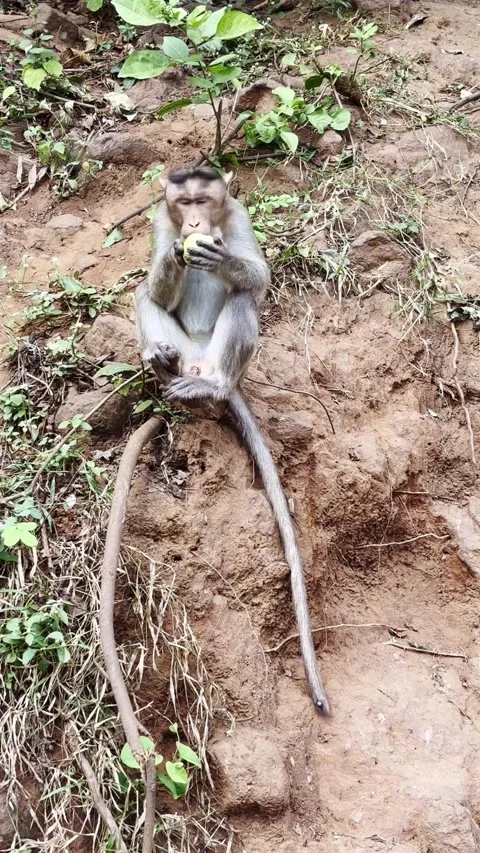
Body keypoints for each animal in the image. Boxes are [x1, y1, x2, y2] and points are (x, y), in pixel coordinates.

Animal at [136, 166, 329, 715]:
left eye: (205, 199)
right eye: (184, 203)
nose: (195, 222)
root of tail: (202, 362)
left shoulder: (239, 215)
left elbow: (258, 278)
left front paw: (218, 256)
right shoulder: (160, 220)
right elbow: (156, 291)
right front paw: (175, 252)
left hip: (224, 360)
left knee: (242, 298)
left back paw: (214, 387)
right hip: (184, 353)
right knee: (143, 297)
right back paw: (159, 359)